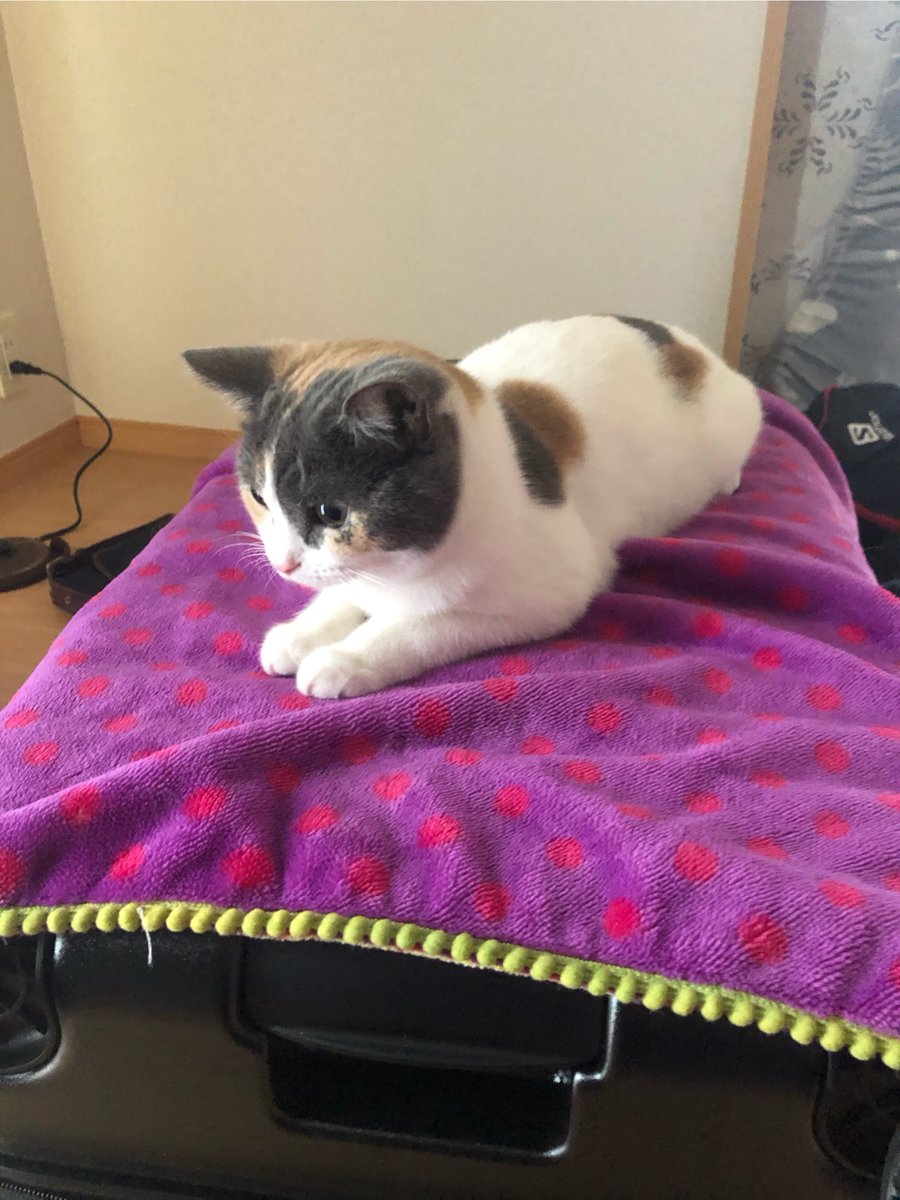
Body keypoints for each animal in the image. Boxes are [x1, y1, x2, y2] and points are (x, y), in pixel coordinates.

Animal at [184, 315, 762, 699]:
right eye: (259, 497)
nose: (283, 564)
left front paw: (348, 657)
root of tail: (688, 343)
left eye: (331, 513)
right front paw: (302, 632)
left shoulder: (550, 592)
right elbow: (343, 594)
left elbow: (423, 624)